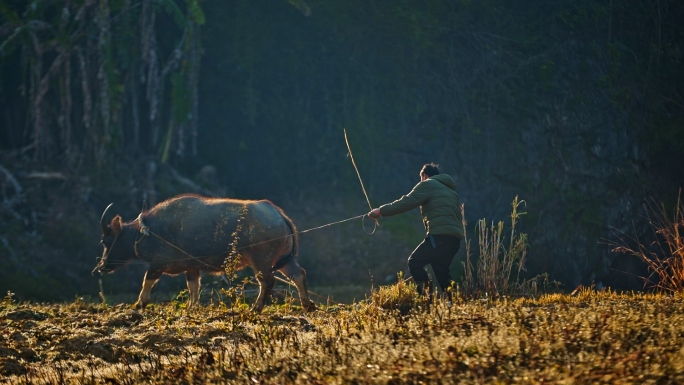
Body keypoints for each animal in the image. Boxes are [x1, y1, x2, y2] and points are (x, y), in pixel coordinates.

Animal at [92, 192, 316, 312]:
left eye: (105, 239)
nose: (102, 266)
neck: (147, 232)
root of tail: (279, 214)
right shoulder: (192, 267)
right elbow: (193, 287)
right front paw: (192, 307)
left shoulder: (158, 265)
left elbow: (146, 281)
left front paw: (139, 304)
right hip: (284, 260)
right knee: (299, 274)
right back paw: (308, 305)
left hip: (261, 260)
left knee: (268, 282)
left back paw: (256, 308)